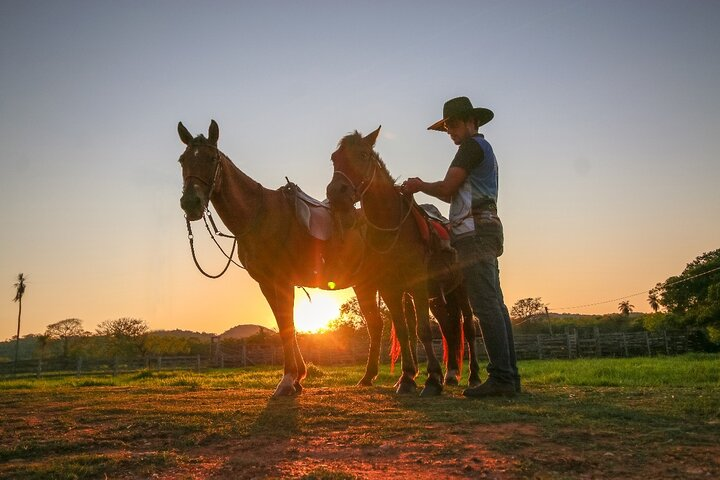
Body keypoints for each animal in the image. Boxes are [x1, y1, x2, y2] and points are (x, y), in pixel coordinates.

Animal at [176, 121, 386, 398]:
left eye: (212, 158)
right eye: (183, 160)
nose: (191, 203)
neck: (260, 215)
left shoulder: (282, 281)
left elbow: (287, 326)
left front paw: (288, 380)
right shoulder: (266, 284)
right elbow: (286, 325)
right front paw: (297, 378)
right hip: (367, 284)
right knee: (380, 324)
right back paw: (371, 376)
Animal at [324, 127, 480, 394]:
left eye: (363, 154)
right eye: (335, 158)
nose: (336, 192)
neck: (392, 227)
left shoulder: (416, 285)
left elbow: (423, 330)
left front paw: (431, 379)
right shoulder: (390, 289)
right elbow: (404, 330)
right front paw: (407, 378)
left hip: (462, 289)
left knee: (468, 327)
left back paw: (473, 377)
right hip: (438, 298)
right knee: (448, 329)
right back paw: (450, 374)